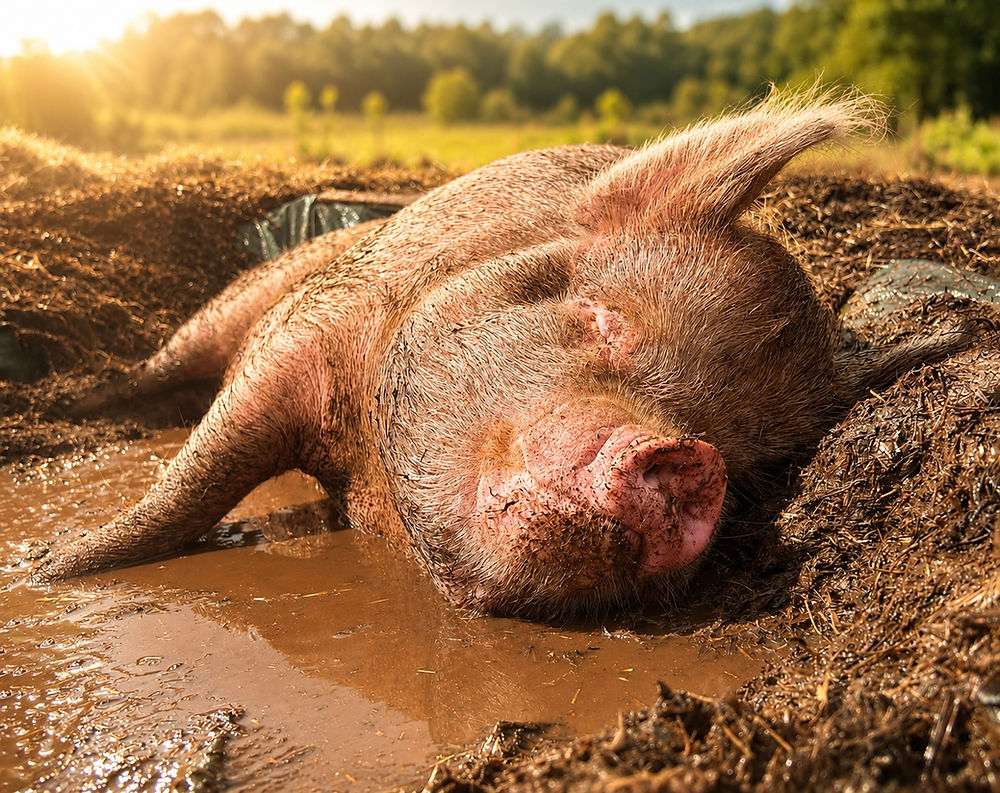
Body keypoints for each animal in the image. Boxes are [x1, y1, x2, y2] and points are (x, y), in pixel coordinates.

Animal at [30, 92, 965, 617]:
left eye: (758, 454)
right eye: (600, 318)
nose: (688, 456)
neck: (366, 482)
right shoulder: (304, 340)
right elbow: (190, 486)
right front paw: (47, 569)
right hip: (254, 295)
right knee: (171, 364)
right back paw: (72, 402)